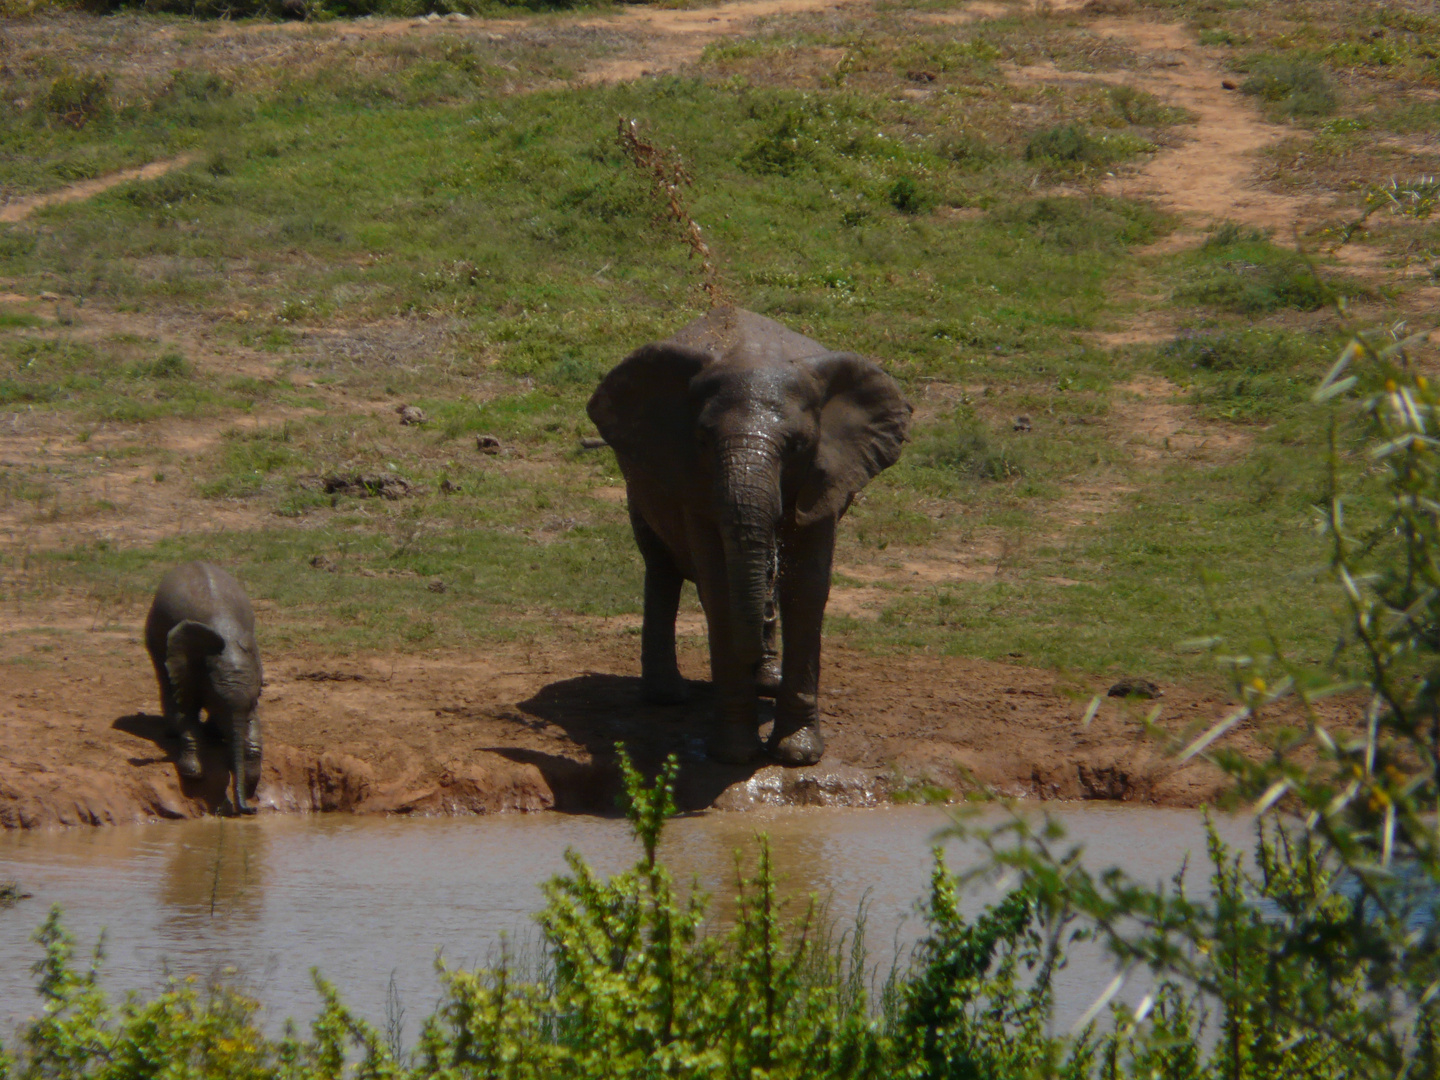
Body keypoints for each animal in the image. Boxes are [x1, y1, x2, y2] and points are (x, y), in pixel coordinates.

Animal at [146, 561, 264, 817]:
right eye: (218, 701)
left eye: (253, 702)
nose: (249, 809)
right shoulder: (189, 666)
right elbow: (185, 707)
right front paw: (193, 772)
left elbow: (253, 722)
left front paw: (250, 776)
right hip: (153, 630)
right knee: (164, 677)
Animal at [587, 306, 910, 771]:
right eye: (702, 439)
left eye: (797, 446)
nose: (753, 658)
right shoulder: (690, 476)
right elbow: (720, 588)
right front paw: (736, 756)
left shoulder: (829, 471)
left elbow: (807, 588)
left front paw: (798, 754)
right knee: (661, 567)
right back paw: (669, 696)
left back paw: (767, 678)